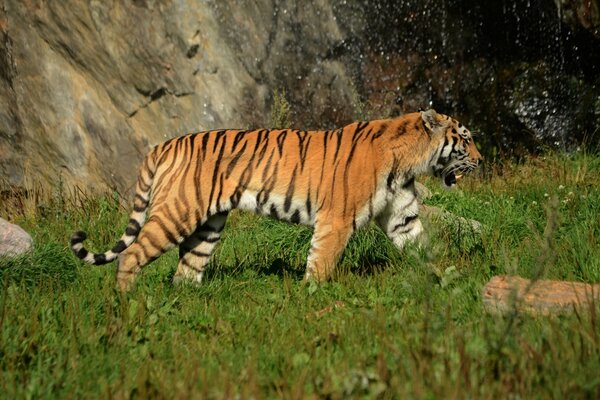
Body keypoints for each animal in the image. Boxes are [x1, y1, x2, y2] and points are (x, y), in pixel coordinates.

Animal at [70, 109, 482, 290]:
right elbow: (321, 261)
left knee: (186, 270)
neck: (409, 160)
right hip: (177, 213)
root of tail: (163, 145)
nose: (481, 159)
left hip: (208, 227)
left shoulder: (402, 217)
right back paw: (129, 304)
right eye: (465, 138)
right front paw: (311, 296)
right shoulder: (337, 219)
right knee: (131, 255)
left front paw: (450, 281)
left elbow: (423, 247)